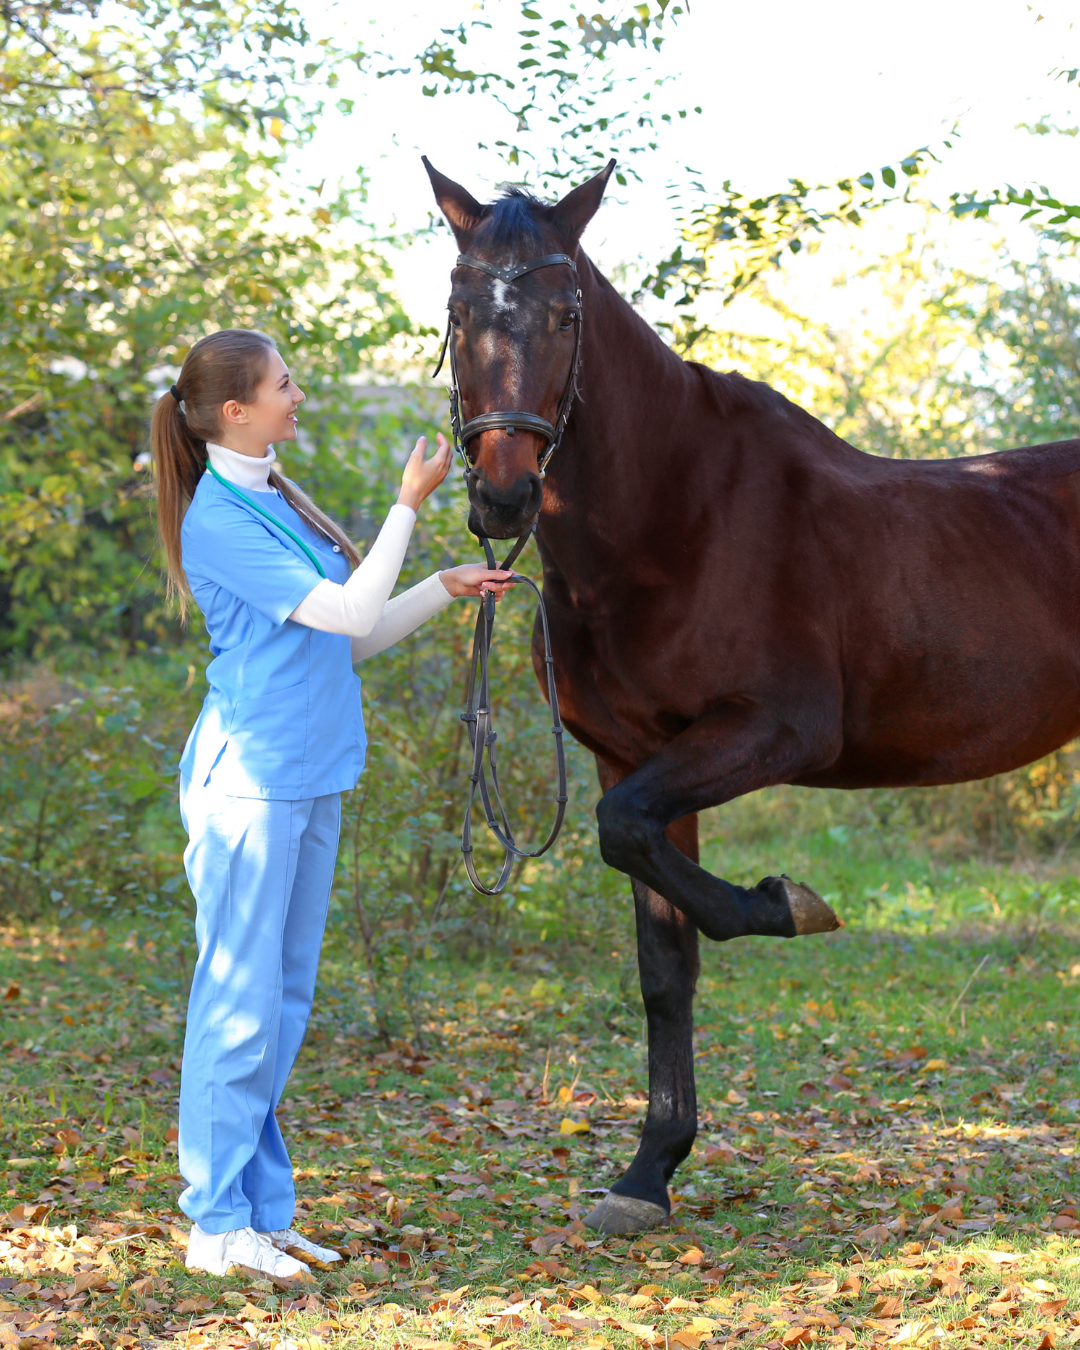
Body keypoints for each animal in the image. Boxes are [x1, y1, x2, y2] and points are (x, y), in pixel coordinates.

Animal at [423, 156, 1080, 1235]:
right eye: (459, 304)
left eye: (565, 313)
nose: (504, 497)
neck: (676, 517)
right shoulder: (633, 755)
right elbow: (663, 961)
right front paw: (648, 1170)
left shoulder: (773, 733)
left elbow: (634, 839)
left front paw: (786, 902)